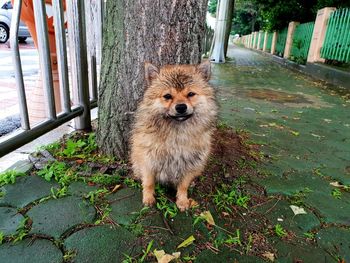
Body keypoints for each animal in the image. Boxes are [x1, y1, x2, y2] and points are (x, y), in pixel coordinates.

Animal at [131, 60, 216, 211]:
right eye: (167, 96)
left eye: (191, 94)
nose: (181, 107)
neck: (176, 133)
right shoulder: (148, 160)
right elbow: (149, 182)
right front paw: (148, 198)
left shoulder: (191, 163)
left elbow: (183, 186)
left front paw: (182, 201)